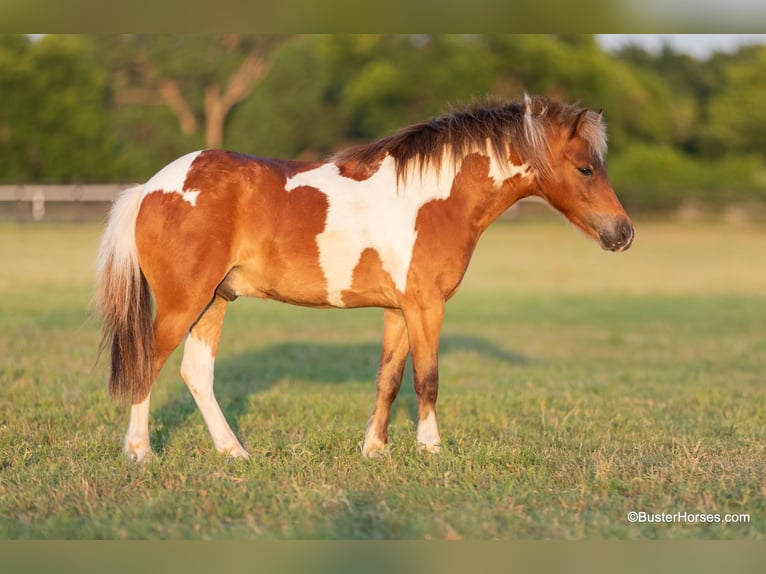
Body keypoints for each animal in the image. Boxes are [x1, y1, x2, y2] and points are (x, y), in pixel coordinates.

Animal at [96, 95, 636, 464]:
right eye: (586, 168)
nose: (624, 233)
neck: (432, 198)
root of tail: (151, 187)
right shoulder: (426, 306)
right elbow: (427, 379)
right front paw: (430, 448)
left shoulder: (399, 309)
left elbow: (389, 379)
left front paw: (375, 448)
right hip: (183, 303)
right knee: (147, 367)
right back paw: (140, 452)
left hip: (214, 301)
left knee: (197, 375)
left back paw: (234, 453)